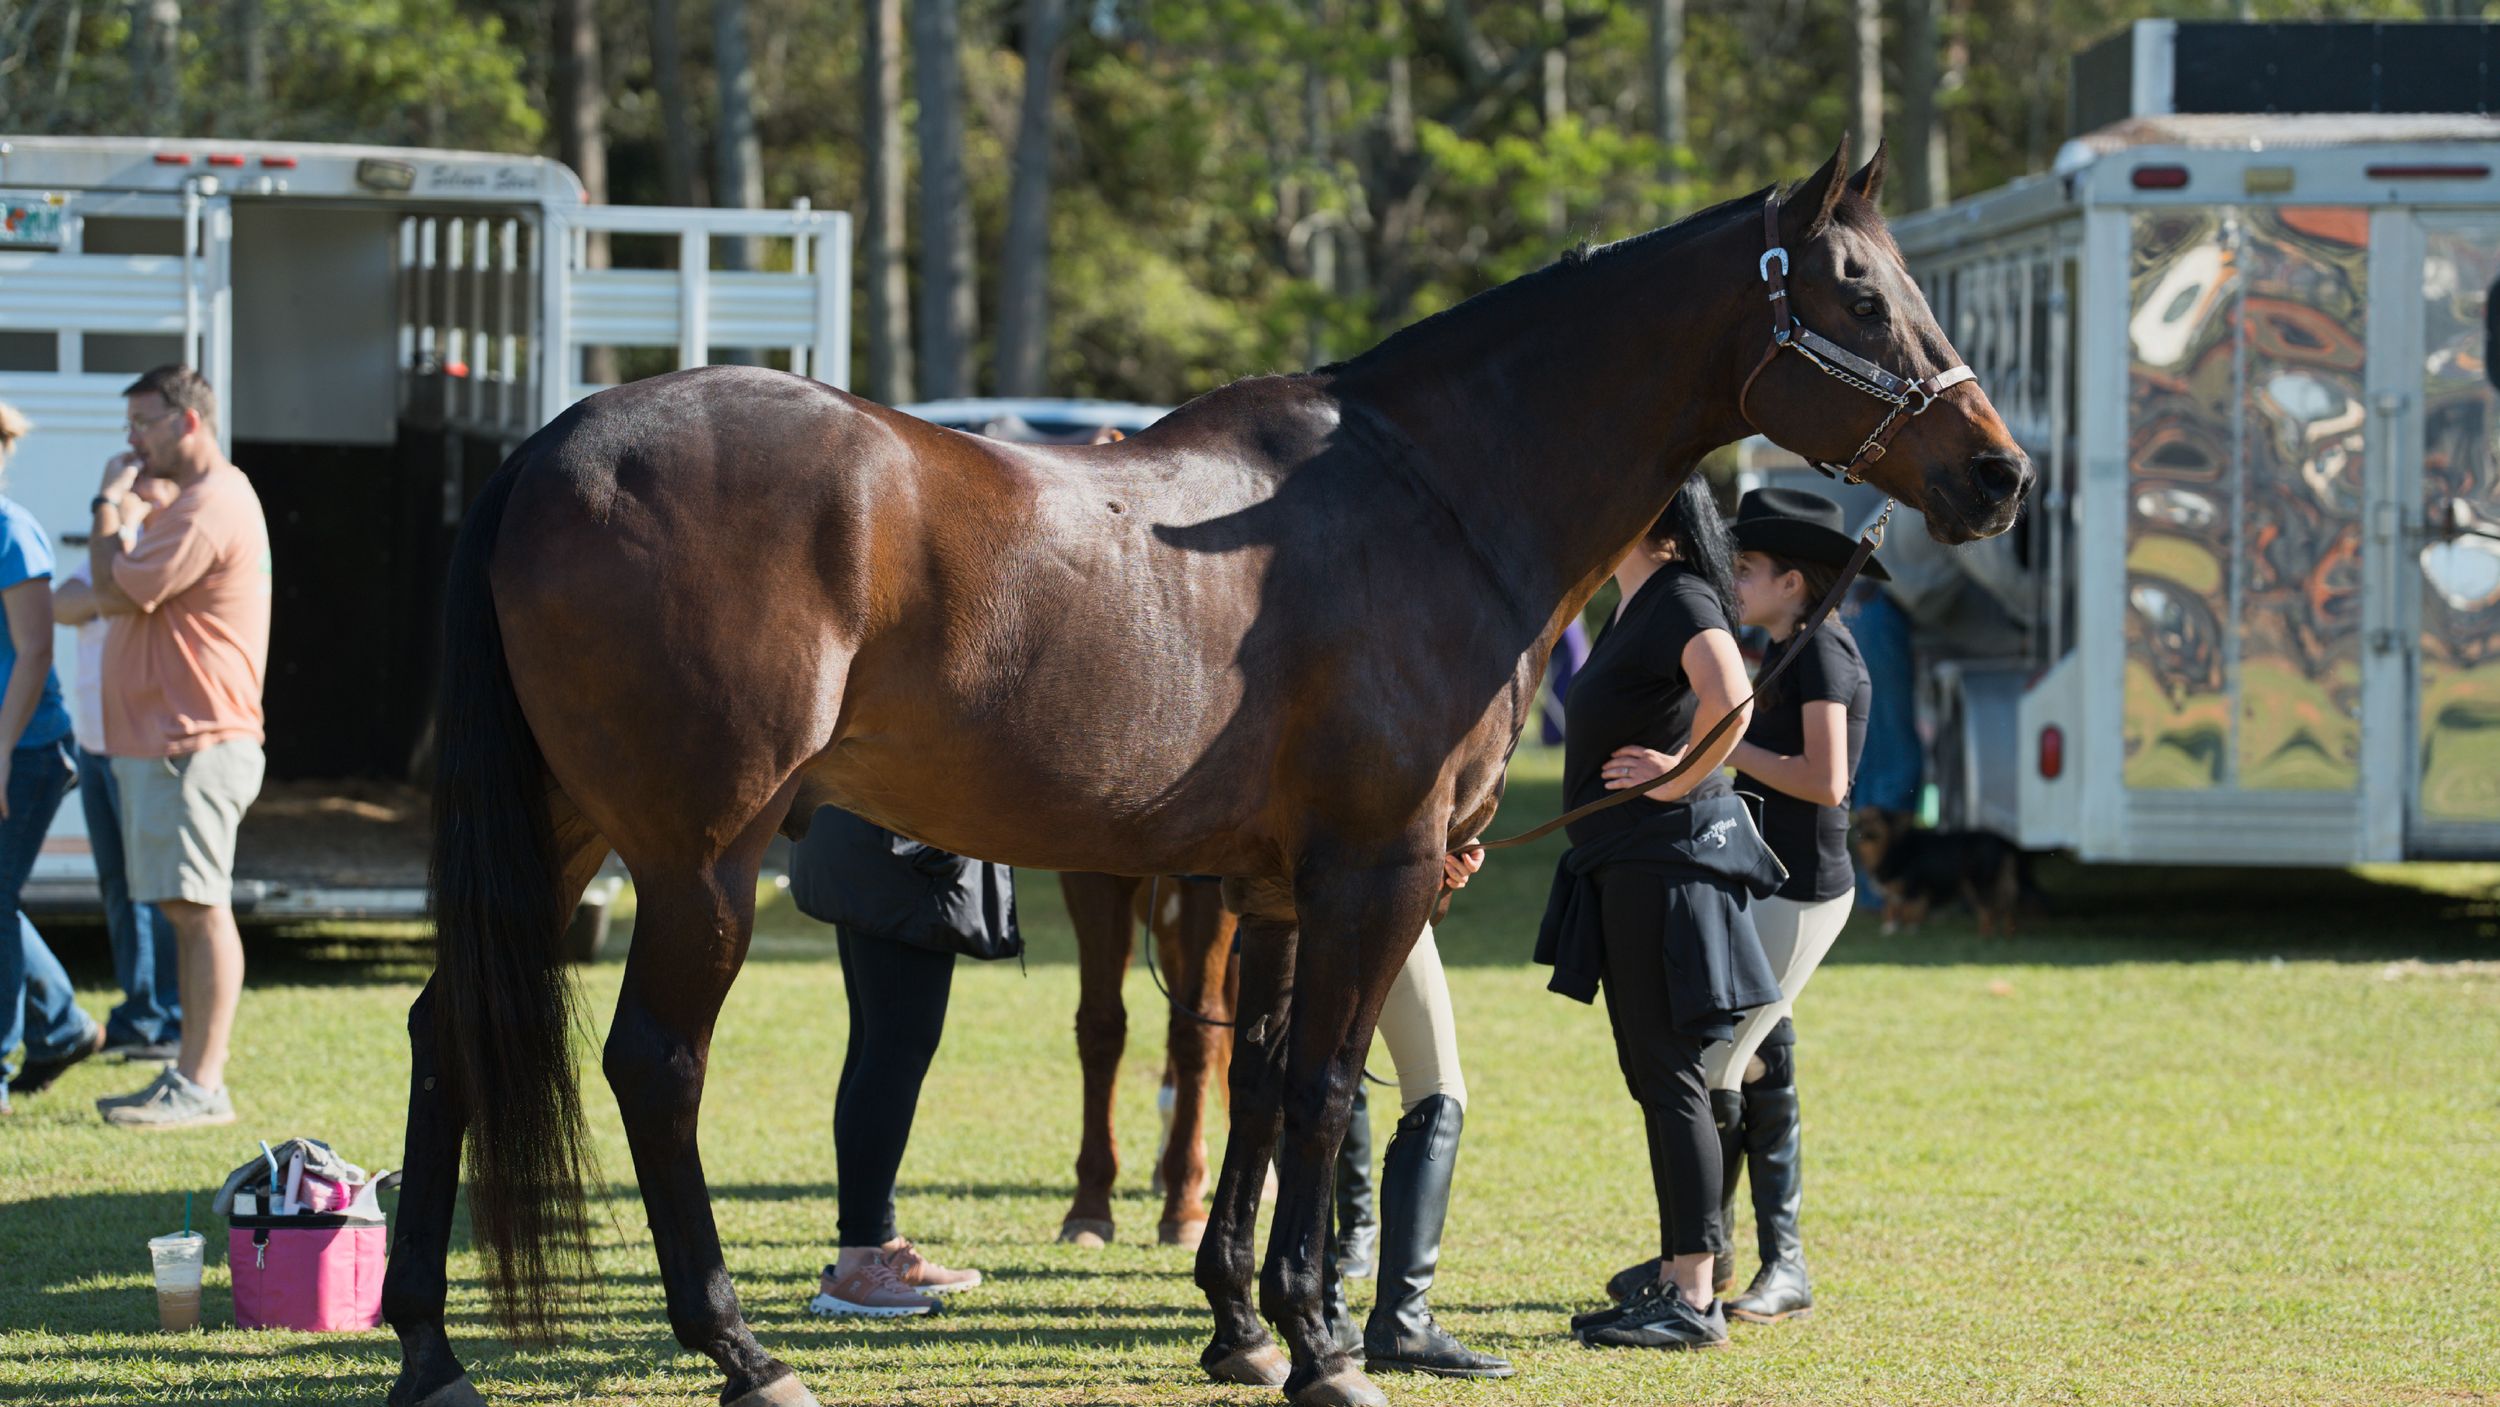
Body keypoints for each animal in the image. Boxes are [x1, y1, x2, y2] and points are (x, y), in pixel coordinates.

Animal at [1057, 871, 1238, 1250]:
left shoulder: (1210, 891)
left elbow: (1196, 1028)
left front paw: (1183, 1211)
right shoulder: (1088, 879)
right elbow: (1100, 1026)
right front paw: (1089, 1207)